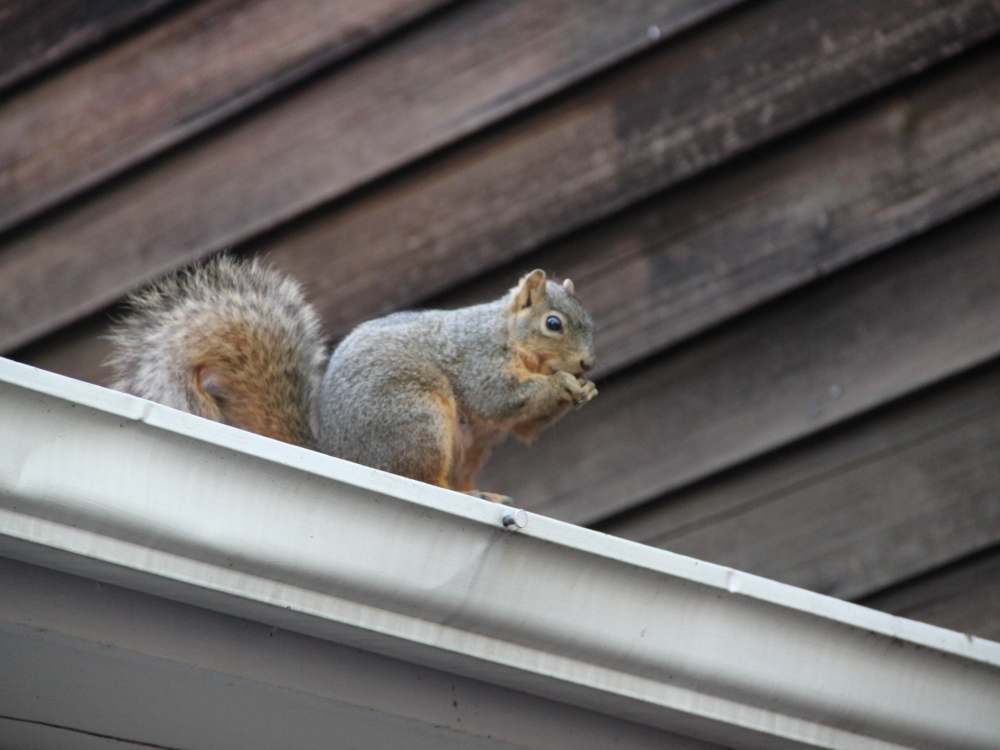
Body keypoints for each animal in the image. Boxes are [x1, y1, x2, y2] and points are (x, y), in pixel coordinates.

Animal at [107, 255, 598, 504]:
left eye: (590, 322)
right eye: (553, 324)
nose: (588, 364)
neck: (509, 335)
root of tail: (341, 454)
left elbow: (524, 427)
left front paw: (585, 391)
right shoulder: (477, 358)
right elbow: (499, 398)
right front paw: (561, 385)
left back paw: (483, 495)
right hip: (417, 418)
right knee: (421, 477)